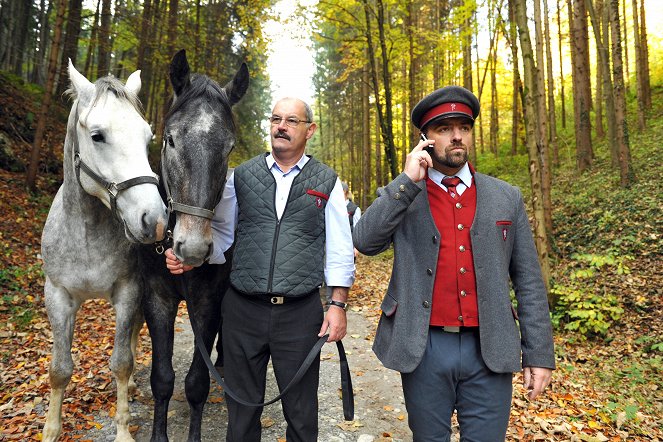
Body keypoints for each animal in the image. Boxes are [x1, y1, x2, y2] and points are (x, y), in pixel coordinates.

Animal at [41, 60, 167, 440]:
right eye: (97, 135)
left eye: (147, 137)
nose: (154, 220)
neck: (85, 234)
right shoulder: (58, 295)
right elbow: (60, 368)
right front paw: (51, 429)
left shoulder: (128, 291)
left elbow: (122, 362)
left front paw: (123, 429)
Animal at [139, 50, 249, 440]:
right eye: (170, 140)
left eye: (228, 148)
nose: (195, 248)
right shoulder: (156, 299)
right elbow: (162, 378)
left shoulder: (208, 302)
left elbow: (197, 383)